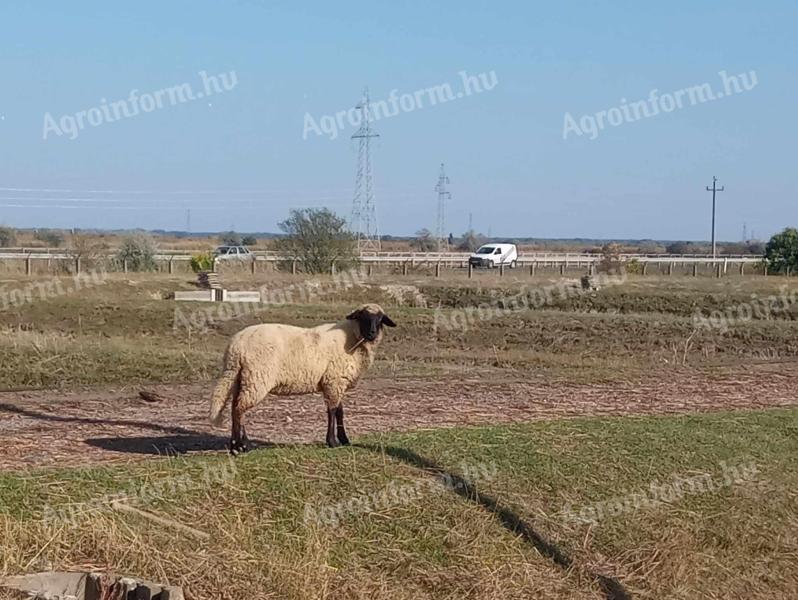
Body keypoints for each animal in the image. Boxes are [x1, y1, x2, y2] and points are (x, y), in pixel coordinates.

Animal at [209, 302, 396, 452]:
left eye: (380, 319)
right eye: (363, 317)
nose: (372, 333)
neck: (352, 337)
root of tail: (235, 347)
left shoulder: (336, 382)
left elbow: (340, 411)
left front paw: (344, 440)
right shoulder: (333, 381)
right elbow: (332, 411)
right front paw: (332, 442)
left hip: (240, 378)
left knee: (234, 408)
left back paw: (235, 445)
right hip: (257, 378)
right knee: (240, 409)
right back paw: (245, 445)